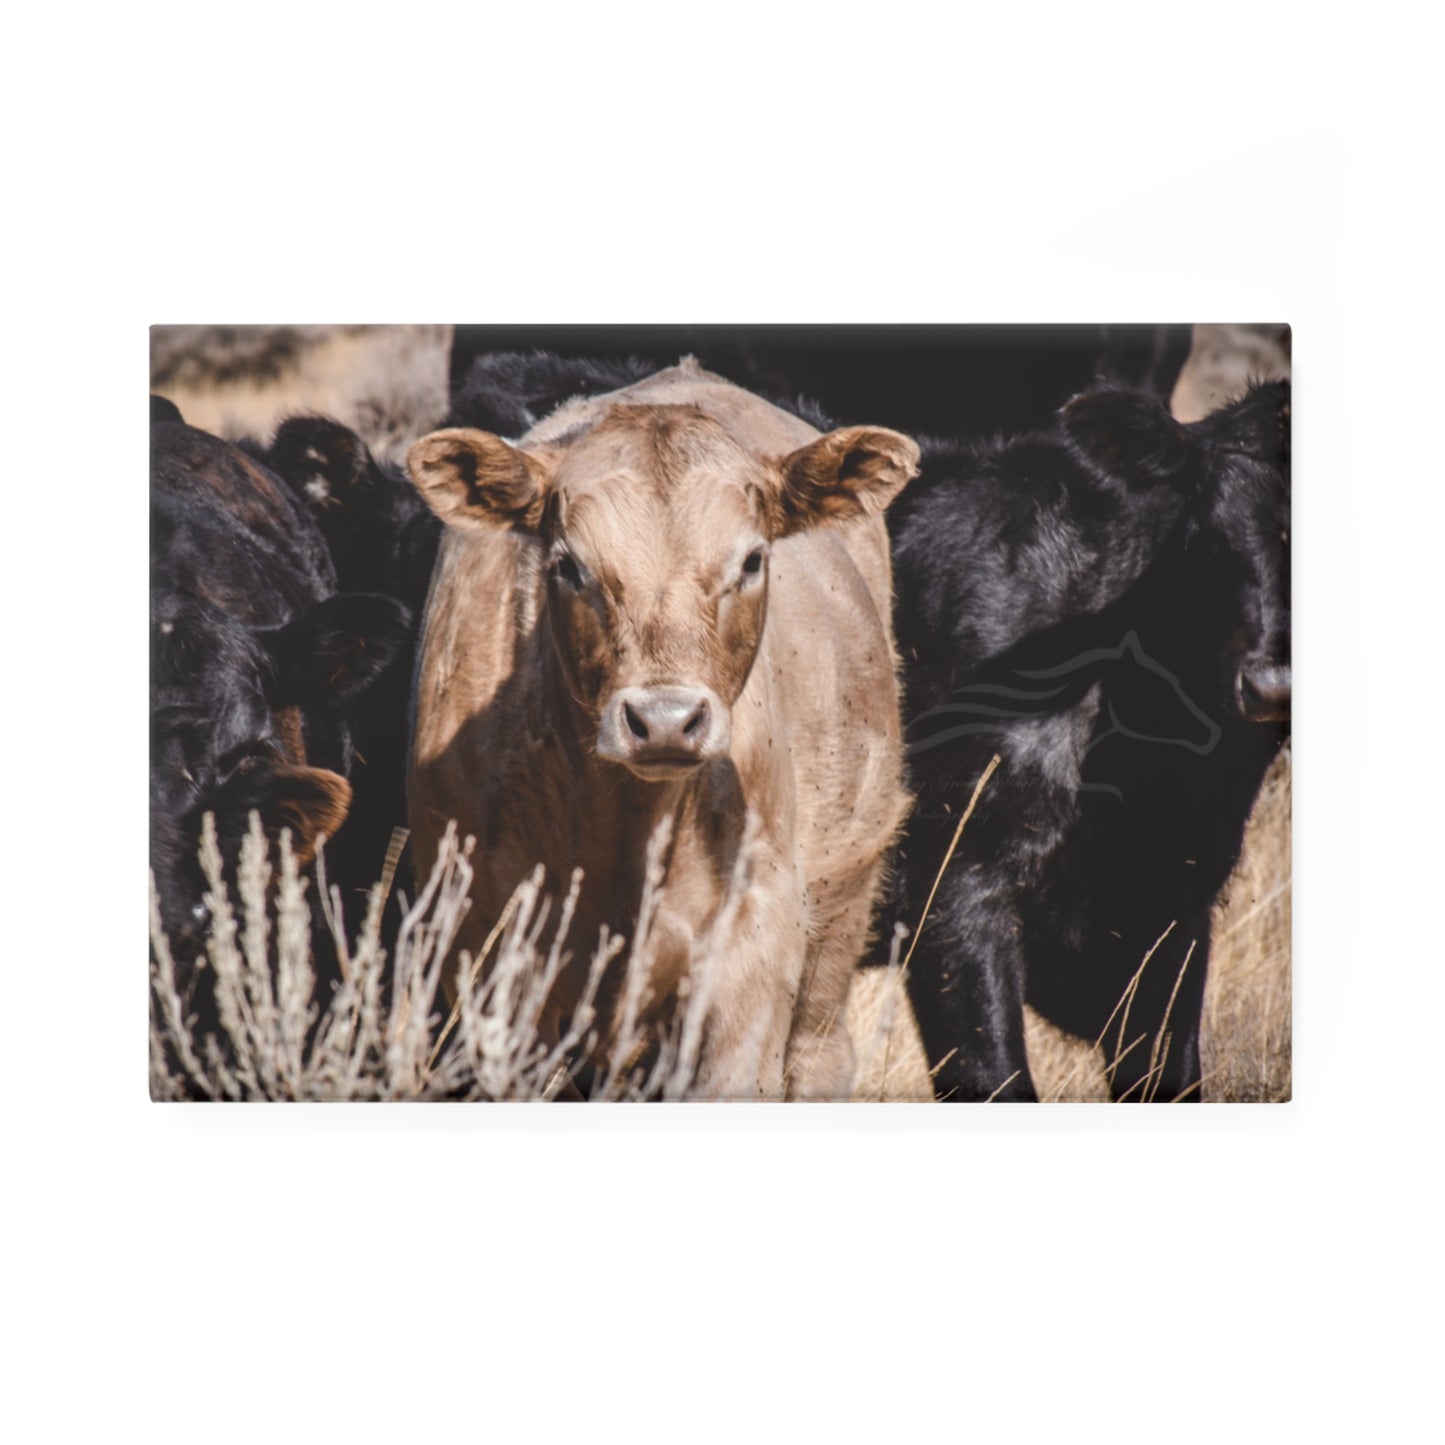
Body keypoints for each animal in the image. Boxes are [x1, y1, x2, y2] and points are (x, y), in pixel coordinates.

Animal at [405, 360, 919, 1099]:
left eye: (752, 560)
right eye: (568, 565)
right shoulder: (487, 958)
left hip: (838, 918)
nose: (665, 721)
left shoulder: (750, 955)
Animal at [884, 380, 1291, 1101]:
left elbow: (1167, 1075)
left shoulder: (1176, 914)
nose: (1270, 686)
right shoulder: (951, 882)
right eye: (1208, 535)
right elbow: (992, 1074)